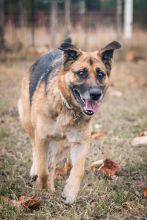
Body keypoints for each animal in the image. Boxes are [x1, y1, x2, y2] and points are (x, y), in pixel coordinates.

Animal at [17, 37, 121, 205]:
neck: (67, 108)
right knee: (36, 151)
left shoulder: (81, 142)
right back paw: (35, 173)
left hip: (60, 144)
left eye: (100, 74)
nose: (95, 94)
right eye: (81, 73)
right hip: (28, 123)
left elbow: (77, 170)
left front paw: (70, 193)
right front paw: (42, 186)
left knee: (53, 163)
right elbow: (42, 169)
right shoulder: (42, 137)